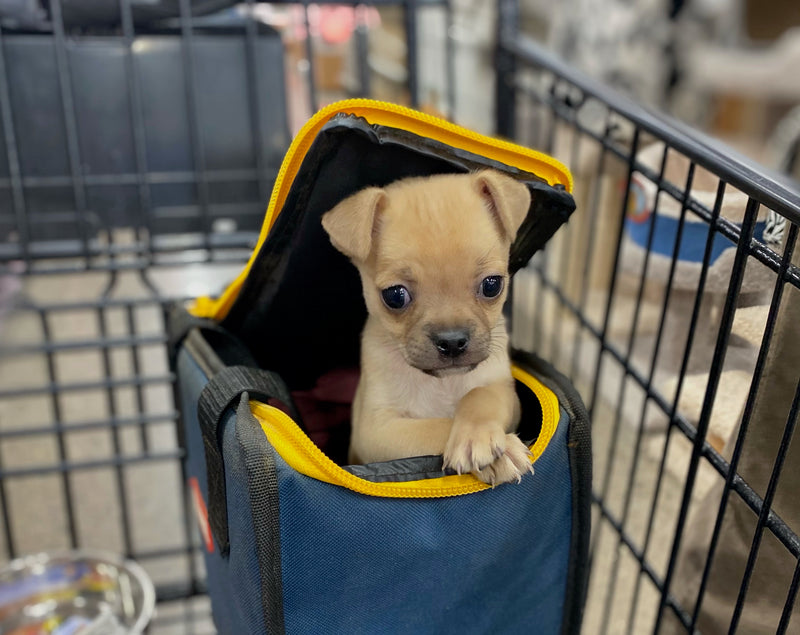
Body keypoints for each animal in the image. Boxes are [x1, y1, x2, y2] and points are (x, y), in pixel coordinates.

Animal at [322, 170, 536, 486]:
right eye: (395, 296)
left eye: (492, 285)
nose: (452, 341)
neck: (442, 383)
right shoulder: (376, 431)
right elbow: (435, 425)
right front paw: (503, 448)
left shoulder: (502, 389)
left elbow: (479, 396)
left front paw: (480, 434)